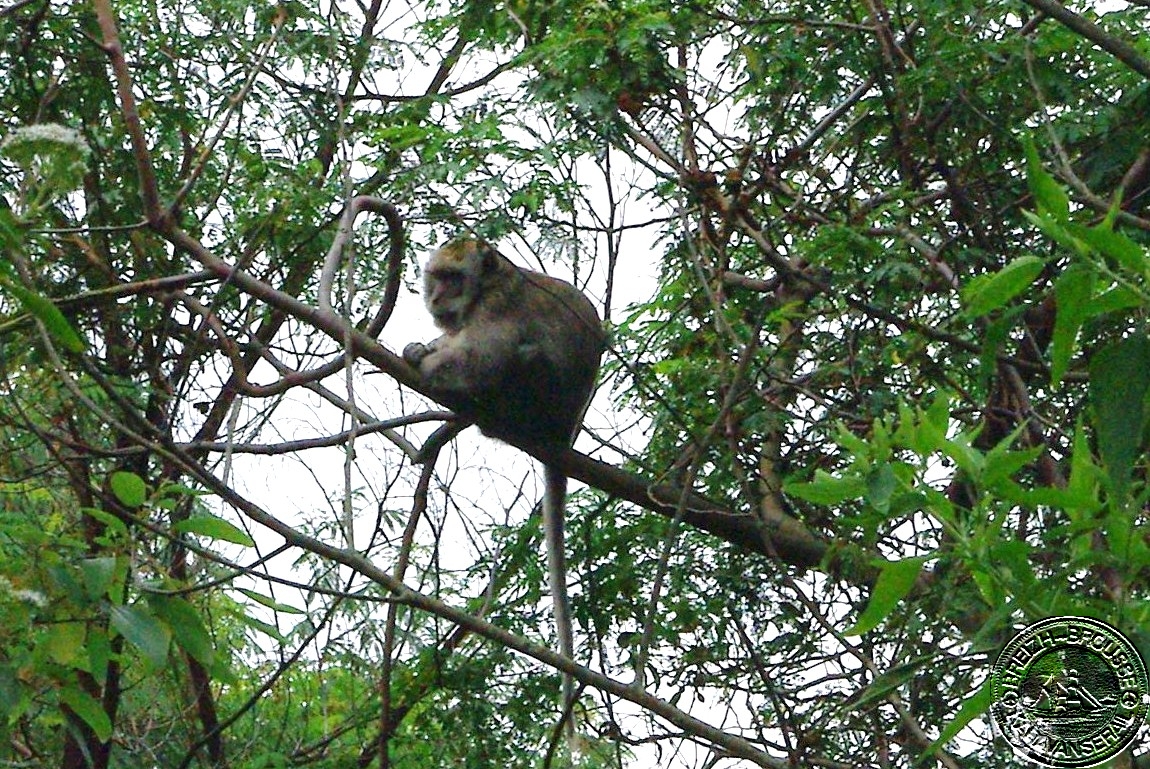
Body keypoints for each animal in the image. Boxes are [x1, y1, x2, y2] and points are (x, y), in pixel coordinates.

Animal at [400, 237, 607, 731]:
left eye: (454, 278)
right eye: (437, 277)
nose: (437, 298)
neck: (489, 284)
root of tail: (563, 434)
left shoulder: (497, 306)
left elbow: (480, 357)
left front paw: (423, 358)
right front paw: (425, 344)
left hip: (537, 398)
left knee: (520, 355)